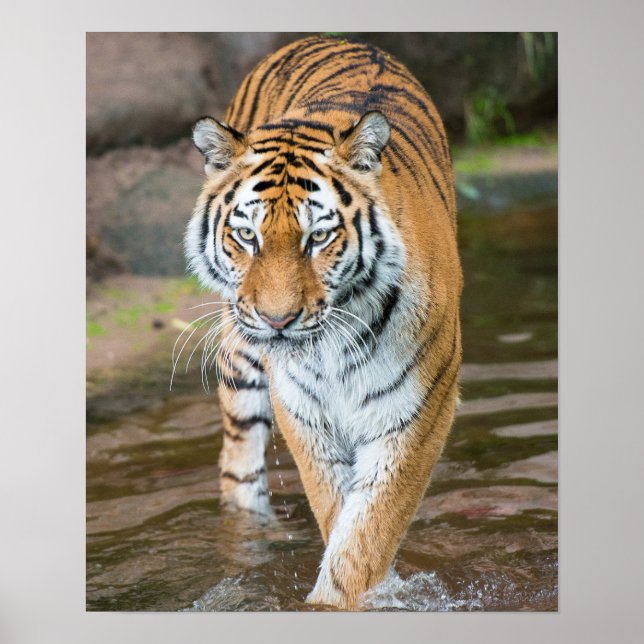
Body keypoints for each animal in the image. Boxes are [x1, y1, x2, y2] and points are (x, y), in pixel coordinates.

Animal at [184, 35, 462, 610]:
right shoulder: (303, 410)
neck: (332, 347)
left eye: (318, 238)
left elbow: (368, 529)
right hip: (240, 356)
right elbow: (336, 509)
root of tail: (330, 38)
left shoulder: (419, 410)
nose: (277, 320)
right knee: (238, 462)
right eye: (247, 236)